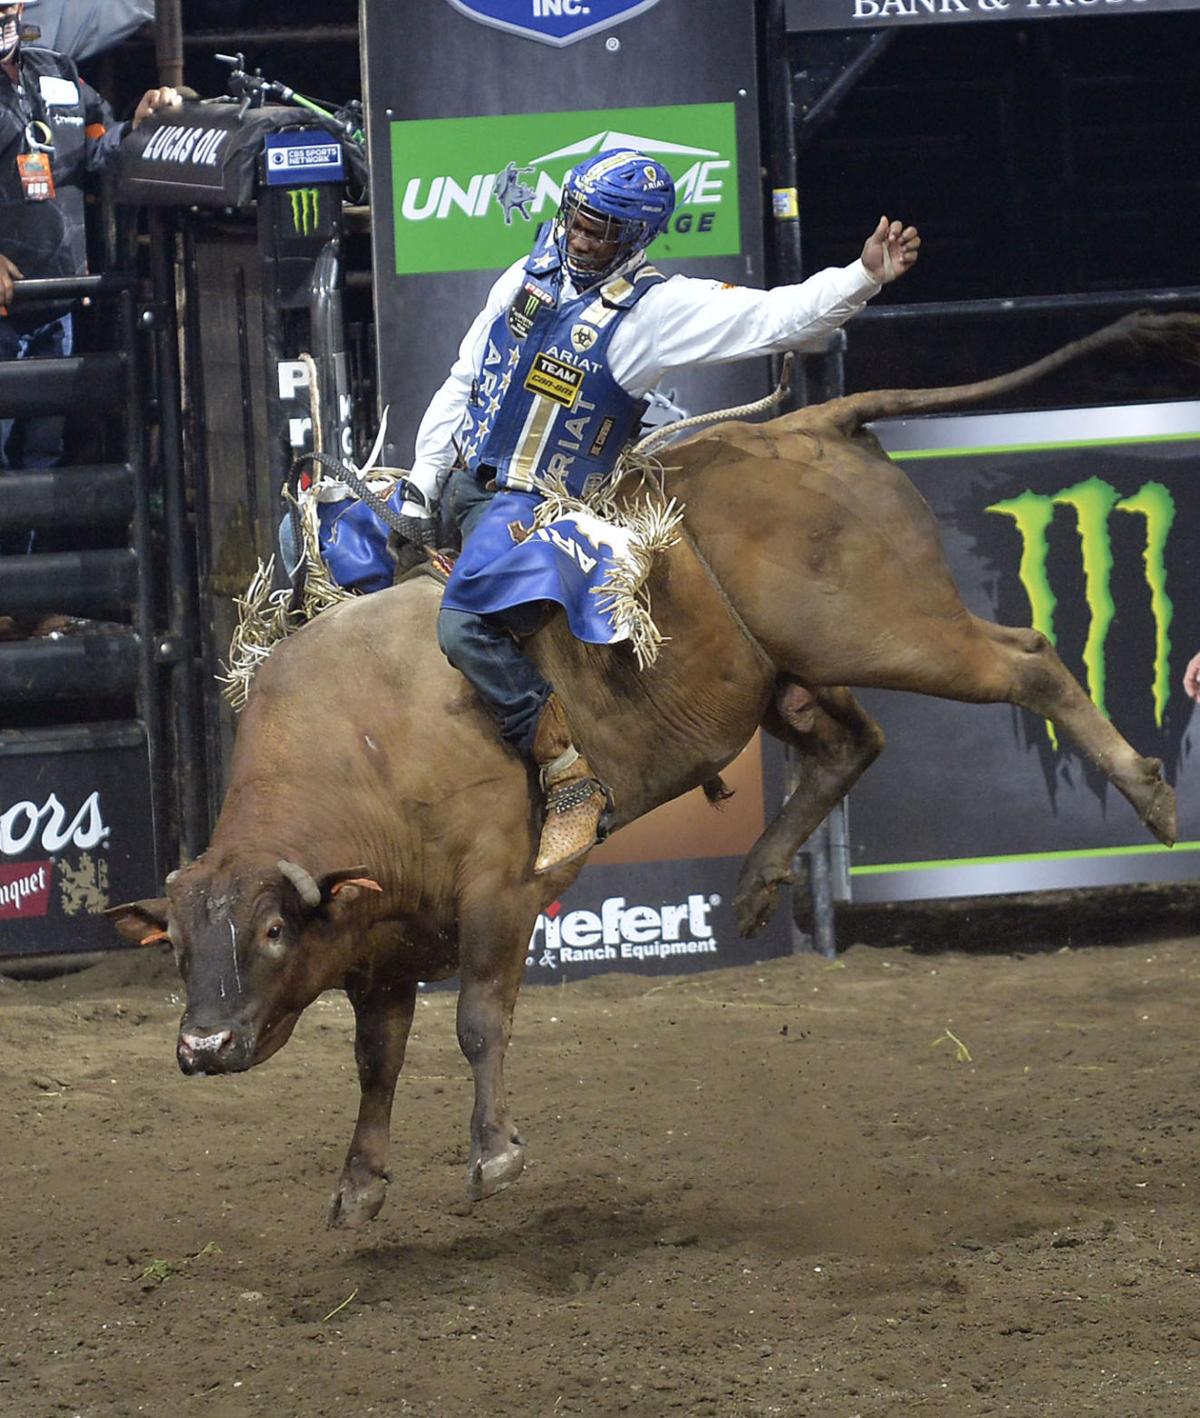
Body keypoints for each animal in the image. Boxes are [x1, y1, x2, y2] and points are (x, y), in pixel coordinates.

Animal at [107, 310, 1197, 1230]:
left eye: (272, 929)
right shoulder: (381, 938)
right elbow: (377, 1059)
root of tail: (810, 422)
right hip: (786, 674)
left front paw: (492, 1154)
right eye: (179, 946)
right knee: (855, 741)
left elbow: (476, 1021)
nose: (203, 1048)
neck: (364, 737)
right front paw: (360, 1185)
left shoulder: (496, 894)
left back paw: (1150, 795)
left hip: (890, 629)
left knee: (1030, 660)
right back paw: (758, 878)